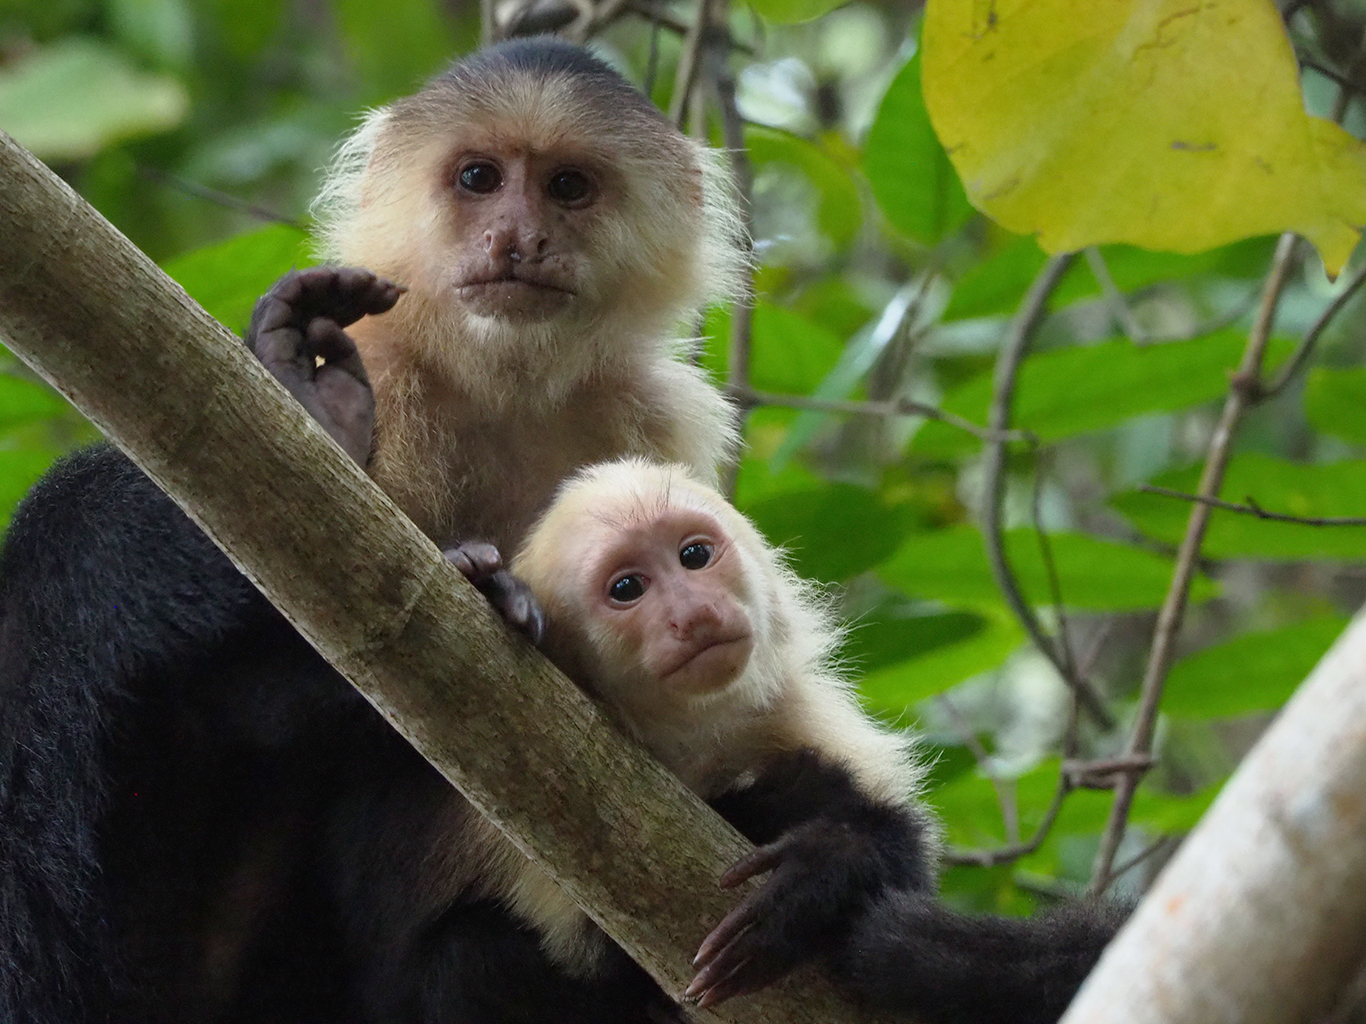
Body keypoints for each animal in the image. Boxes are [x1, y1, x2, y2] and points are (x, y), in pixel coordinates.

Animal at [513, 461, 1131, 1021]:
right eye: (627, 588)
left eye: (694, 556)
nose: (693, 614)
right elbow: (588, 956)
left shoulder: (794, 714)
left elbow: (899, 862)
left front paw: (824, 873)